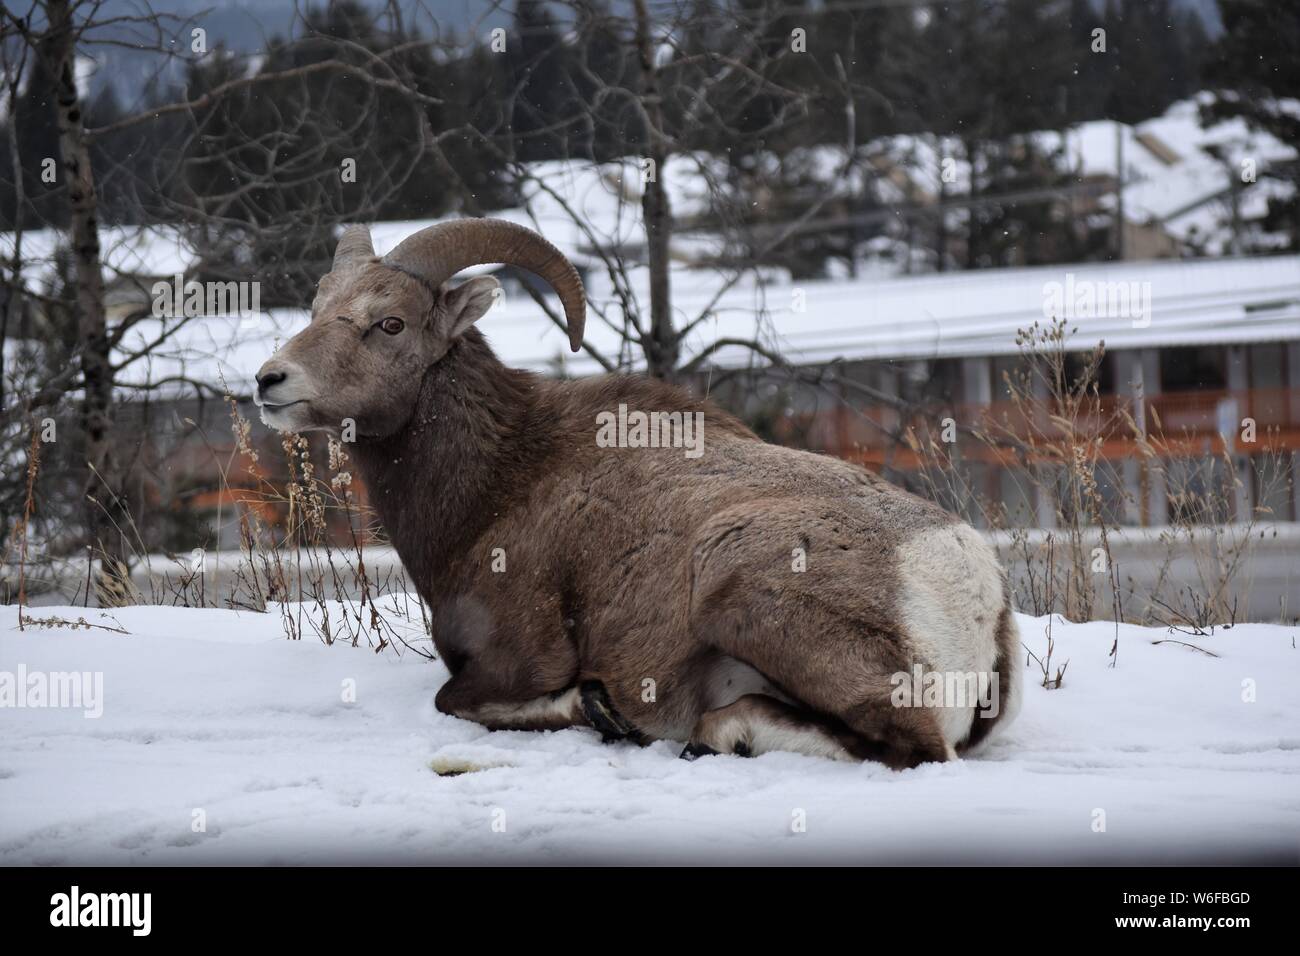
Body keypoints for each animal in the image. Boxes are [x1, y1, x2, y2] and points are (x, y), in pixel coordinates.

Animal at [258, 218, 1019, 770]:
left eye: (389, 323)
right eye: (318, 306)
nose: (271, 380)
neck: (498, 485)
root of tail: (967, 587)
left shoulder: (518, 659)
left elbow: (456, 699)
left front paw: (595, 708)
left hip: (740, 591)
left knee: (909, 749)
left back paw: (688, 728)